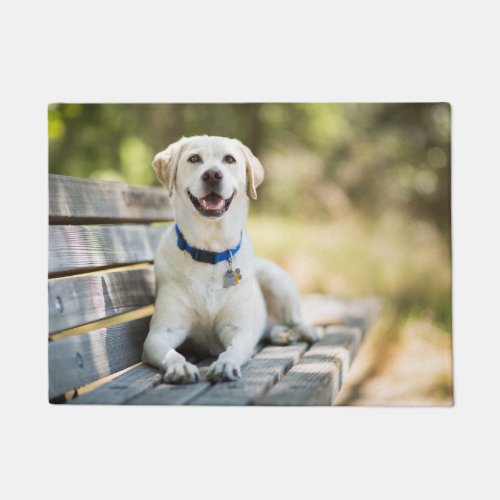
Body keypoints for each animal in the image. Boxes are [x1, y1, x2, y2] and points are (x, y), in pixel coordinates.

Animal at [143, 135, 318, 384]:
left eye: (229, 159)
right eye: (194, 158)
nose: (212, 174)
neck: (210, 250)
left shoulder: (238, 330)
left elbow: (234, 349)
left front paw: (225, 365)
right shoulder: (161, 334)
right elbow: (171, 353)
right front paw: (180, 367)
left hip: (274, 278)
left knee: (293, 317)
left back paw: (305, 331)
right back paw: (280, 333)